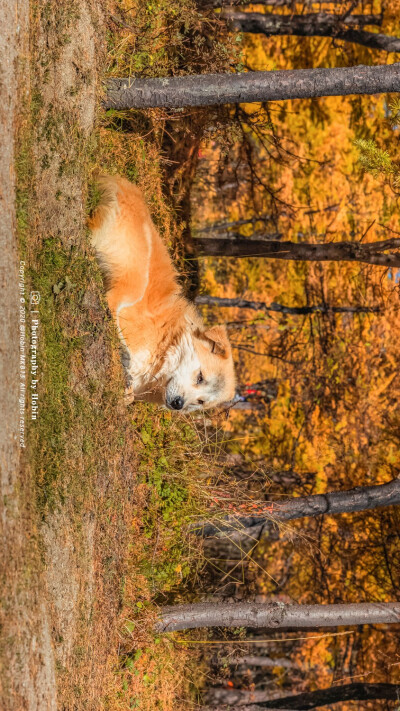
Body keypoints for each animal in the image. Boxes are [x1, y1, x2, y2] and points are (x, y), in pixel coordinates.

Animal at [89, 175, 236, 414]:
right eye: (200, 377)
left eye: (201, 401)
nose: (178, 404)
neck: (166, 342)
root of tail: (123, 186)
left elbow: (129, 396)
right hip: (136, 280)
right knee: (110, 302)